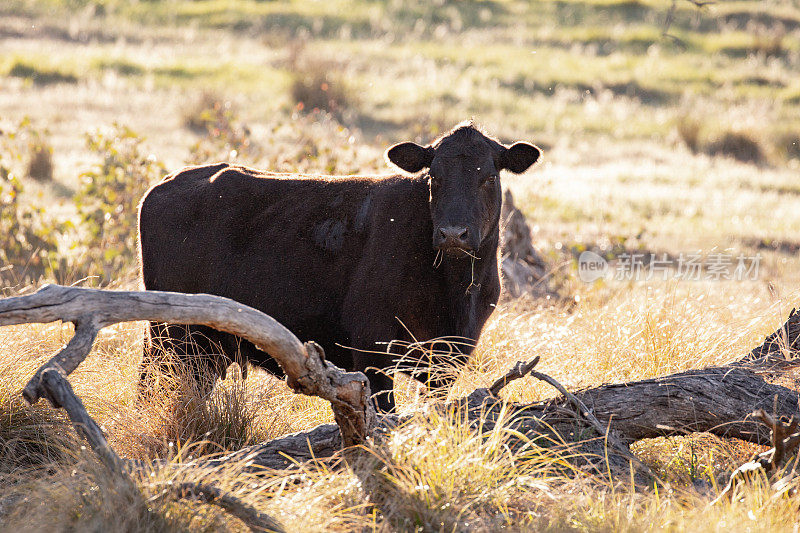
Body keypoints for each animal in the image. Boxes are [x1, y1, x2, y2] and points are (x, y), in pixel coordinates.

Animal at [139, 121, 544, 412]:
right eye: (434, 177)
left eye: (488, 177)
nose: (452, 234)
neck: (457, 288)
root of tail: (166, 184)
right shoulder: (372, 352)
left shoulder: (447, 359)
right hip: (174, 336)